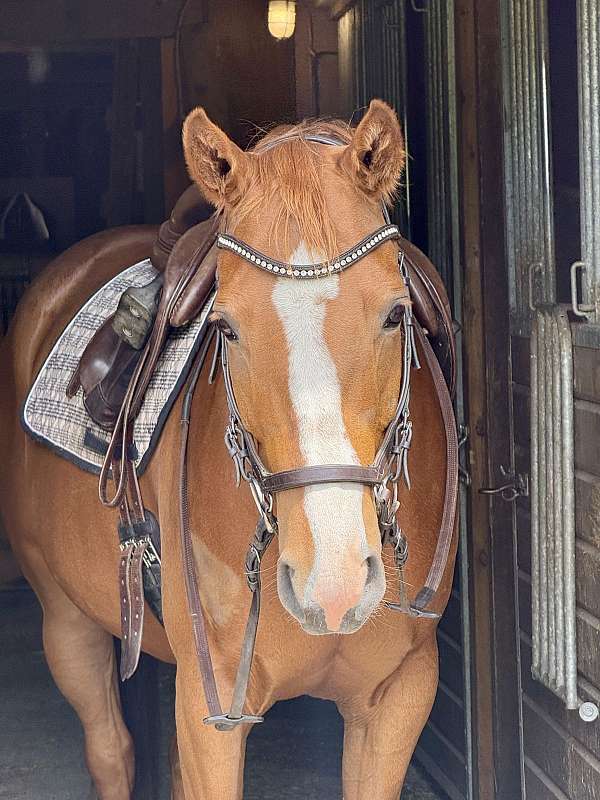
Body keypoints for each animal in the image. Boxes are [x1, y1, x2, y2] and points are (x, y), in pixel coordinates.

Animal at [0, 99, 457, 799]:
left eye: (393, 314)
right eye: (228, 327)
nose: (334, 583)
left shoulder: (400, 697)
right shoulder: (210, 706)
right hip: (66, 619)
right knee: (110, 749)